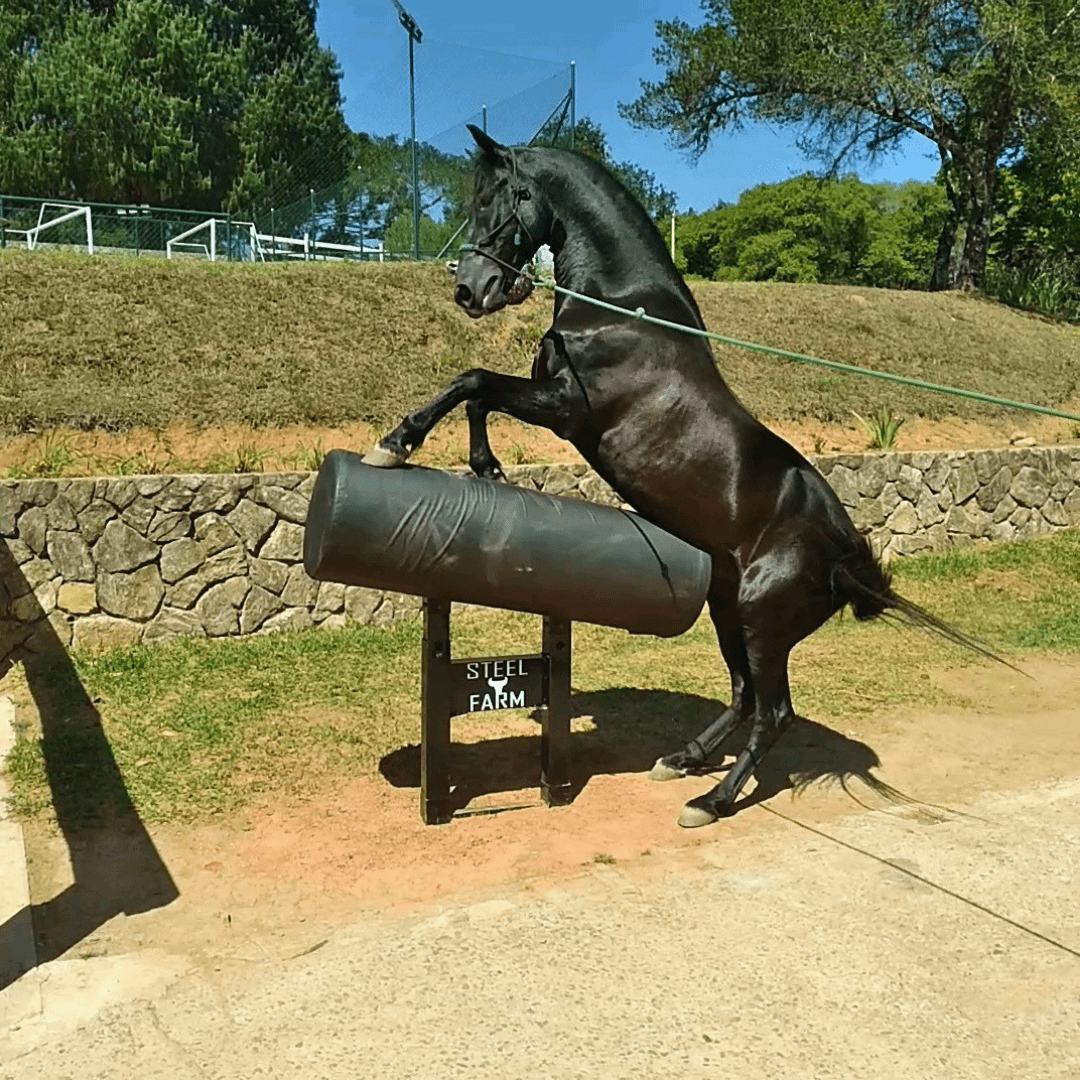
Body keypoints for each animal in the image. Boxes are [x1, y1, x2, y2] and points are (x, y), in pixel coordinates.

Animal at [365, 124, 993, 825]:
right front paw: (484, 467)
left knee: (773, 713)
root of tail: (842, 557)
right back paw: (683, 760)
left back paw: (711, 800)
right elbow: (477, 393)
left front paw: (395, 444)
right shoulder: (550, 399)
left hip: (761, 622)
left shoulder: (567, 410)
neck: (621, 307)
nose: (470, 291)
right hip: (727, 610)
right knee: (744, 695)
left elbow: (472, 381)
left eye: (493, 200)